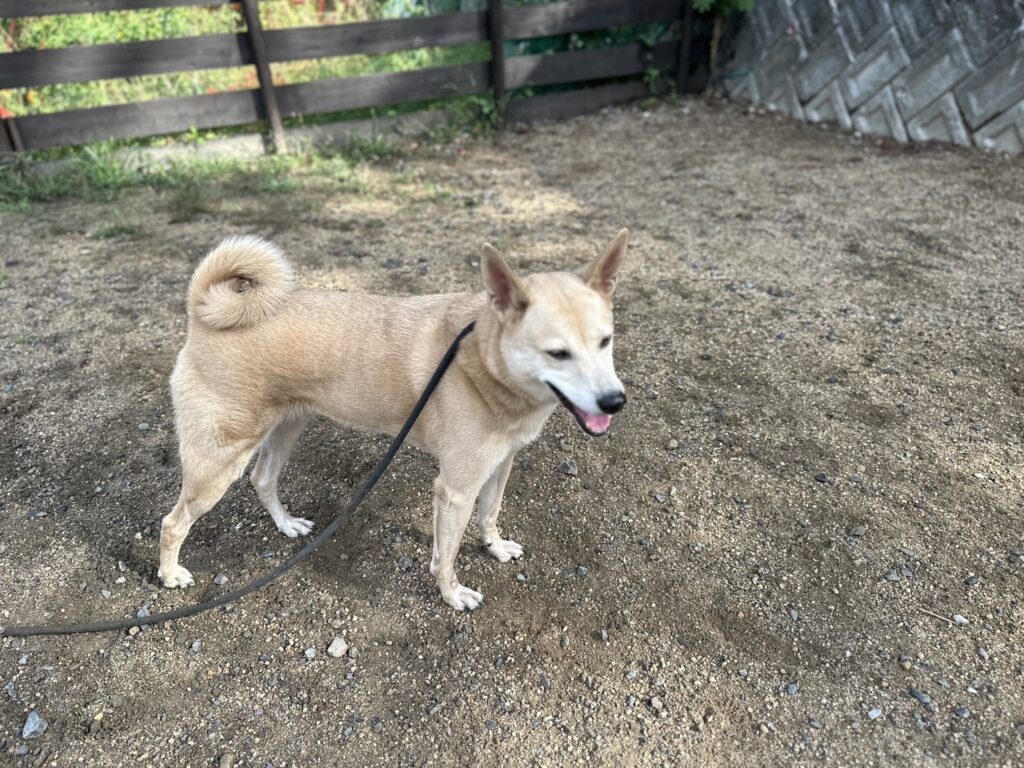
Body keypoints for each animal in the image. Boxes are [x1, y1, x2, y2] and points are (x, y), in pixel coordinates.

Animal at [159, 231, 628, 610]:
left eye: (606, 342)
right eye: (558, 353)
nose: (615, 402)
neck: (482, 358)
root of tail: (201, 309)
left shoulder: (499, 466)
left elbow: (490, 514)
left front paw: (494, 547)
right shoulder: (455, 490)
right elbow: (446, 556)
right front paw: (452, 594)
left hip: (286, 428)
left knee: (262, 479)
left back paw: (286, 524)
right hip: (217, 464)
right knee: (173, 522)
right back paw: (169, 575)